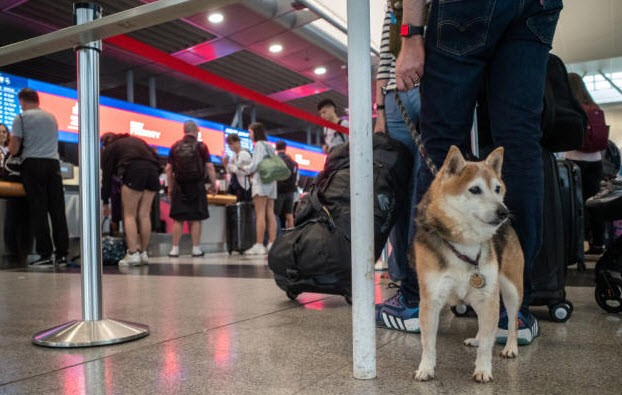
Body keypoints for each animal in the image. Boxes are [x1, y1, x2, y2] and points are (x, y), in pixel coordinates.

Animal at [414, 145, 528, 384]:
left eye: (497, 189)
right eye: (475, 190)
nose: (504, 211)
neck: (464, 243)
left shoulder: (488, 296)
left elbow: (486, 346)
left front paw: (483, 369)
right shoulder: (431, 300)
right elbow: (428, 343)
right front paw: (426, 368)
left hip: (511, 288)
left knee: (511, 321)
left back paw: (510, 347)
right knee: (484, 325)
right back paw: (477, 338)